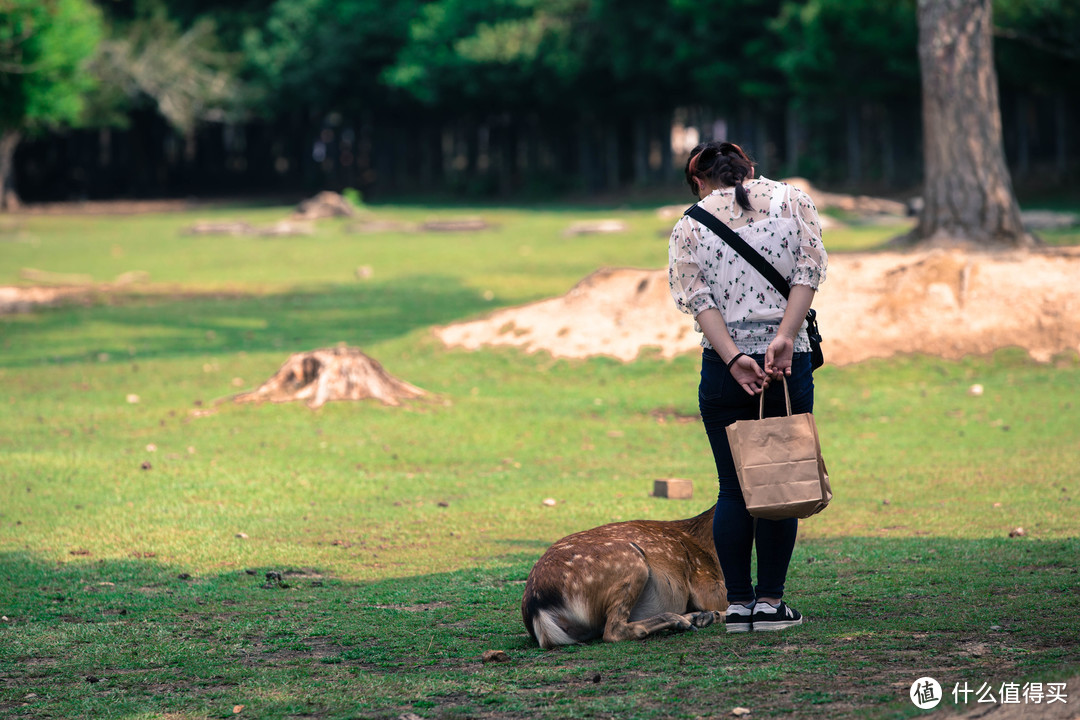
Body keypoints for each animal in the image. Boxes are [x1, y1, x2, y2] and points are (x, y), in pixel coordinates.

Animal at [520, 505, 725, 651]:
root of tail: (536, 608)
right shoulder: (707, 584)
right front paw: (712, 614)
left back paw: (694, 618)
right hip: (631, 561)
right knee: (613, 631)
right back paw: (686, 620)